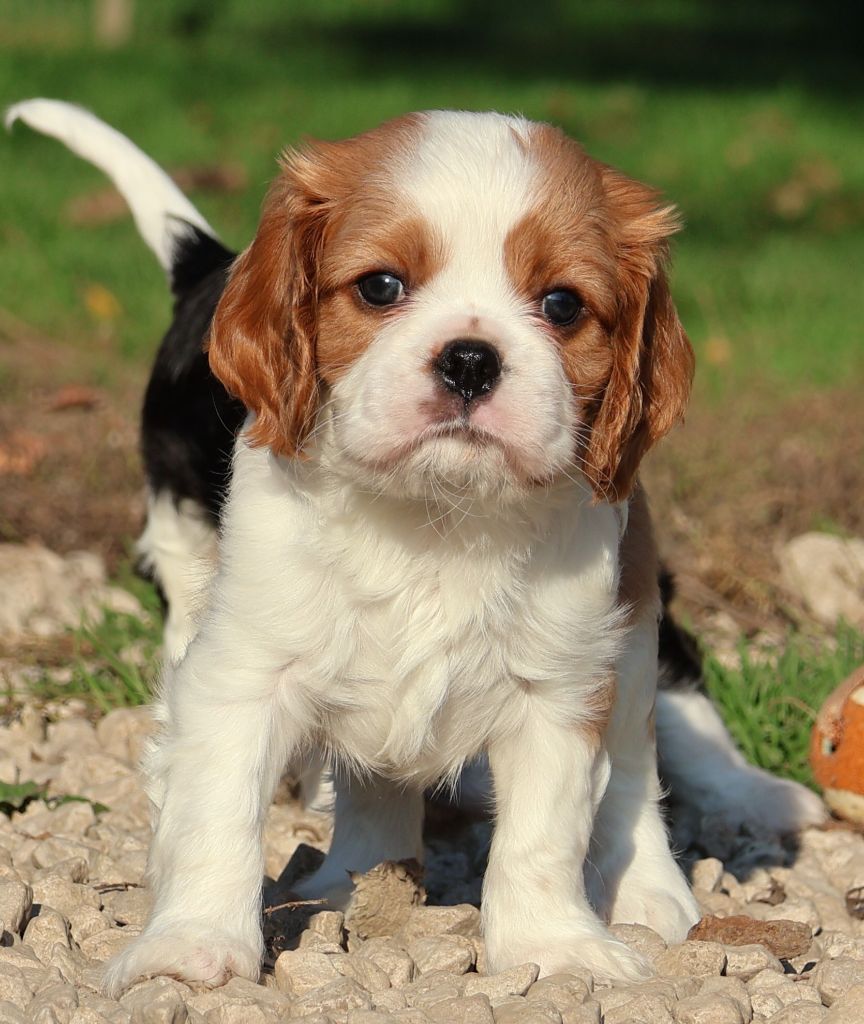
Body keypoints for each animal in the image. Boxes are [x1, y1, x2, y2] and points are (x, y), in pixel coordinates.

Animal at [7, 100, 827, 993]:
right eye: (381, 287)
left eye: (563, 305)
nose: (470, 359)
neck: (436, 513)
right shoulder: (241, 668)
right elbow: (216, 805)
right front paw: (190, 946)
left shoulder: (558, 682)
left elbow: (546, 832)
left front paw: (551, 947)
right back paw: (344, 880)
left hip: (632, 617)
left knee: (645, 746)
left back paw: (692, 850)